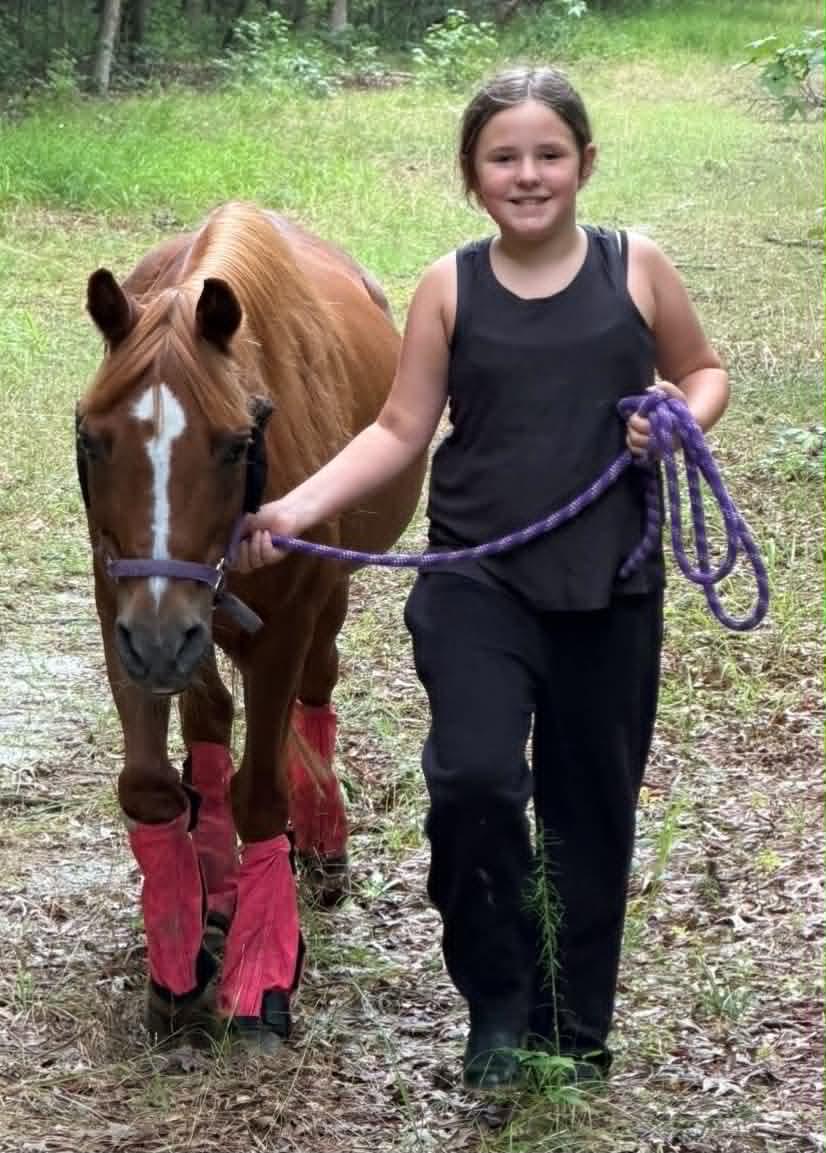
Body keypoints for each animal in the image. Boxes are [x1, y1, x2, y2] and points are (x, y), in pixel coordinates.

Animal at [75, 201, 426, 1050]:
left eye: (237, 445)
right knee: (209, 718)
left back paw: (320, 836)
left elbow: (262, 793)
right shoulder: (127, 614)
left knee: (315, 689)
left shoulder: (282, 621)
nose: (162, 635)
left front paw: (262, 969)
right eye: (92, 439)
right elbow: (151, 786)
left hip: (314, 601)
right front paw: (177, 957)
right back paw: (218, 880)